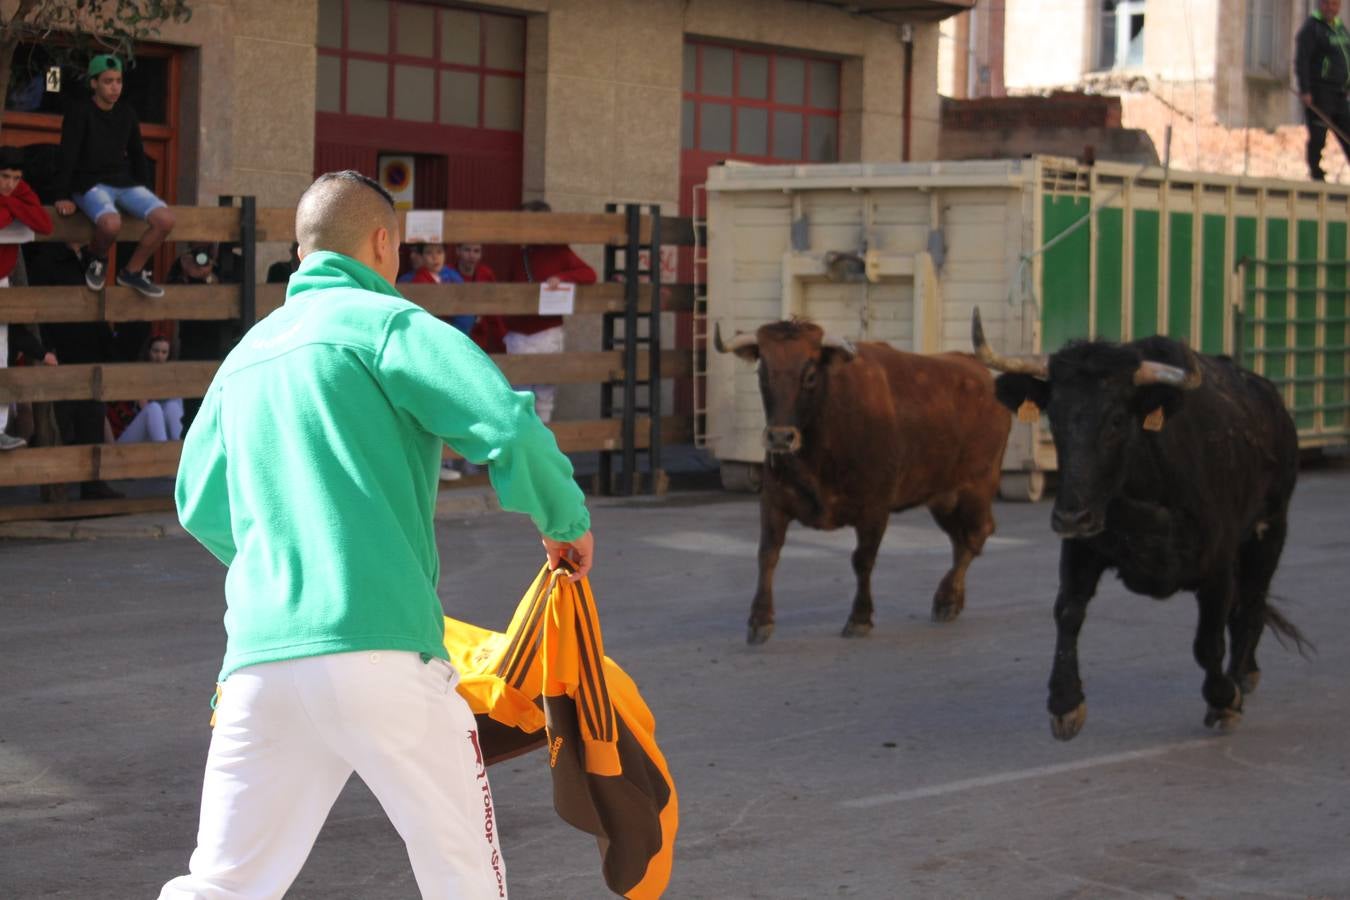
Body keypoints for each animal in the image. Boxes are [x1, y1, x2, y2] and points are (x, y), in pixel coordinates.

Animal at [718, 319, 1015, 644]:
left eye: (810, 375)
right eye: (762, 373)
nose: (781, 437)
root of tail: (977, 368)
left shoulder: (874, 509)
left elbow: (862, 560)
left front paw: (859, 618)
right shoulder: (773, 501)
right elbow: (767, 555)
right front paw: (760, 619)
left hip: (977, 488)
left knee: (976, 535)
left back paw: (947, 598)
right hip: (942, 498)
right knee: (959, 540)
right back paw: (953, 599)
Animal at [972, 306, 1306, 744]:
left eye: (1116, 420)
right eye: (1054, 418)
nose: (1068, 516)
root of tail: (1270, 399)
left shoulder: (1217, 563)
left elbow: (1207, 643)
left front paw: (1223, 700)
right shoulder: (1082, 547)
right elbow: (1068, 613)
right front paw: (1065, 704)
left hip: (1270, 529)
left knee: (1251, 602)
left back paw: (1242, 676)